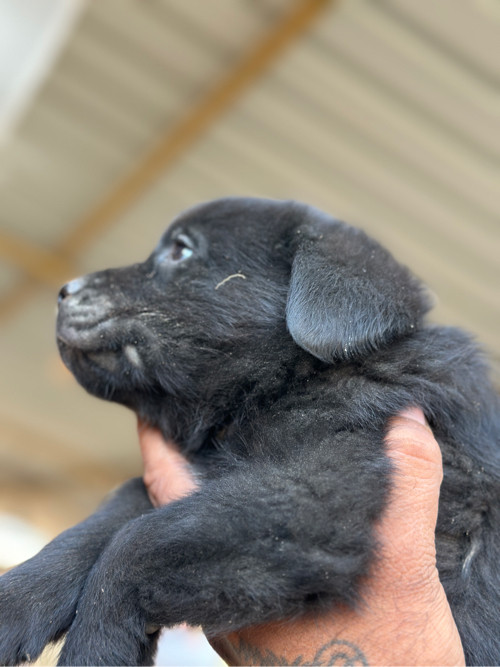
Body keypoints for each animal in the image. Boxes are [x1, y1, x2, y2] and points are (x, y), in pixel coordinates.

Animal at [0, 200, 500, 667]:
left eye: (181, 250)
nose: (64, 291)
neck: (295, 378)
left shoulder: (317, 495)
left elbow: (136, 545)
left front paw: (95, 649)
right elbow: (119, 509)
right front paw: (17, 600)